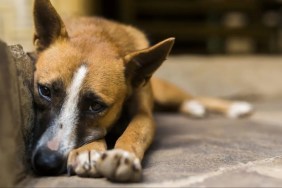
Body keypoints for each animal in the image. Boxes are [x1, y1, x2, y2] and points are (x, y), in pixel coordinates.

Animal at [31, 0, 253, 182]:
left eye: (96, 106)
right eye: (45, 91)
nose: (46, 162)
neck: (101, 36)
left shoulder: (145, 116)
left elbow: (134, 132)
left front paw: (122, 156)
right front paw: (89, 150)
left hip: (166, 93)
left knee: (193, 96)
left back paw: (228, 107)